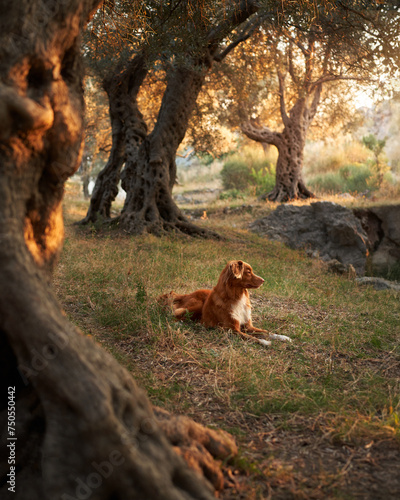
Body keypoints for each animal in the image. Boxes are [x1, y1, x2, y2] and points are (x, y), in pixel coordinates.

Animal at [160, 260, 294, 346]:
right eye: (248, 272)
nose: (263, 280)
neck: (238, 296)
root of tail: (186, 294)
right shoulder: (231, 329)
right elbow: (252, 338)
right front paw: (265, 342)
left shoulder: (248, 326)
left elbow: (266, 332)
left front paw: (284, 337)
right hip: (196, 306)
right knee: (174, 313)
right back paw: (180, 323)